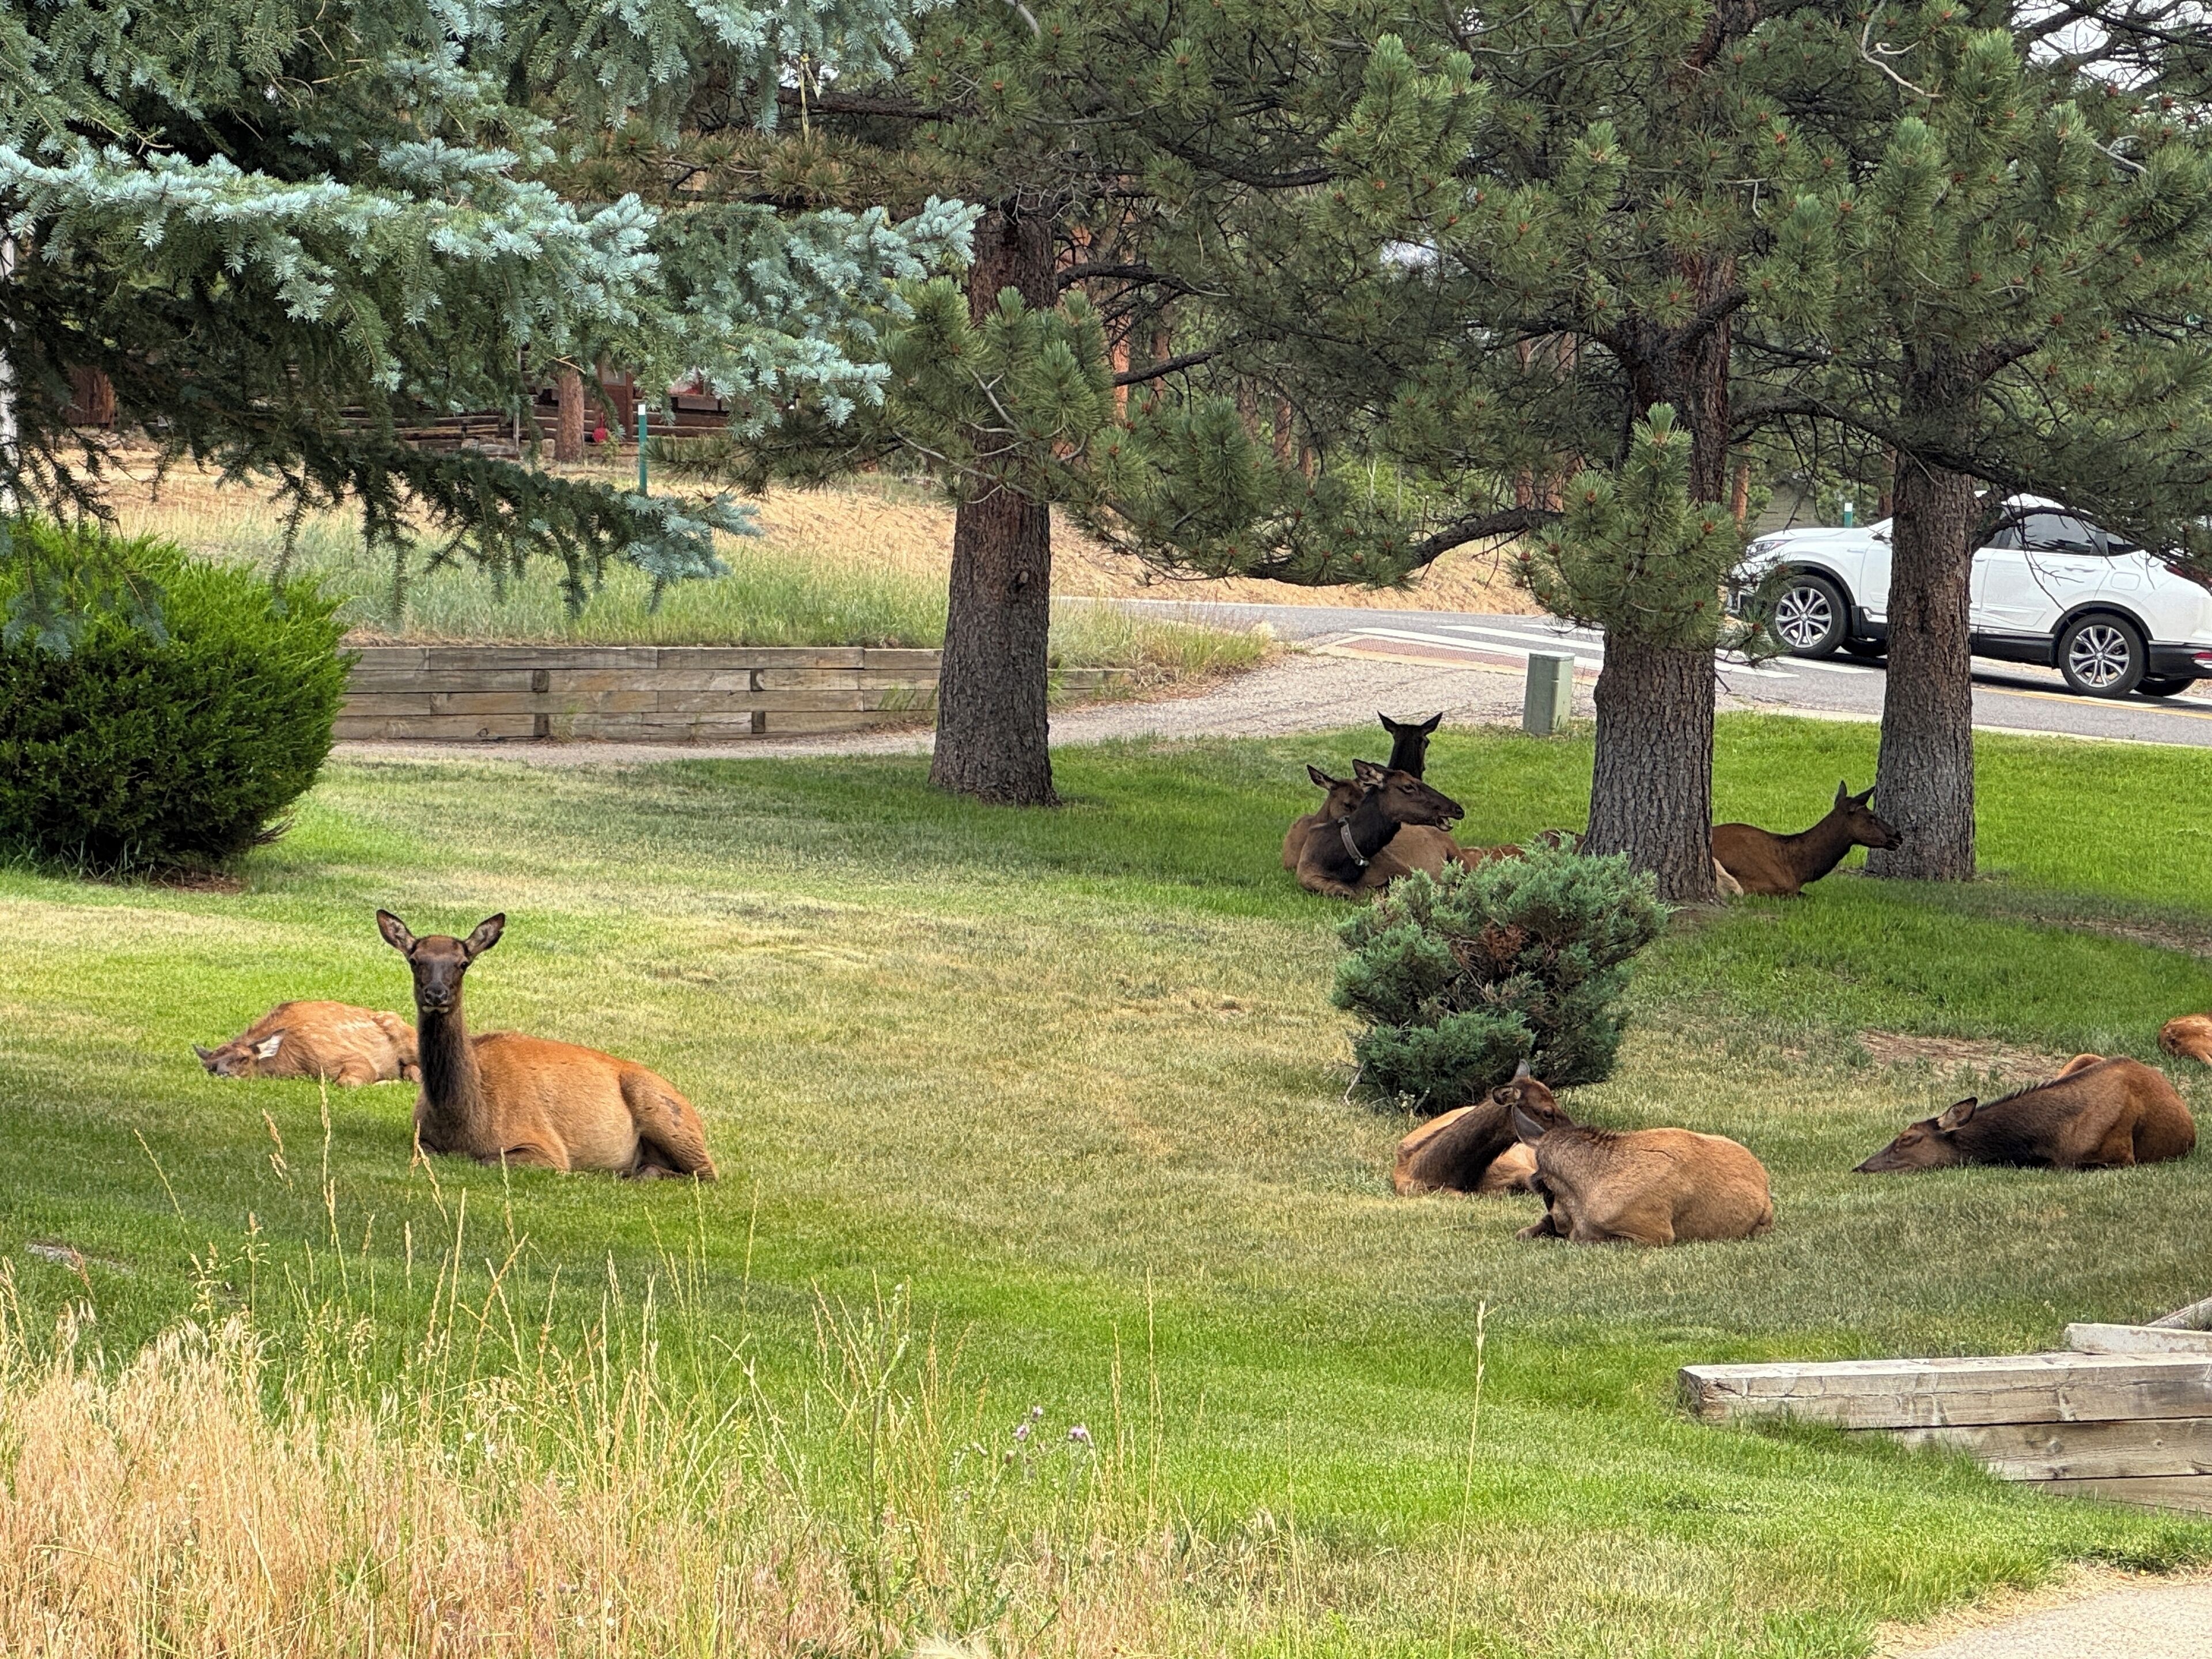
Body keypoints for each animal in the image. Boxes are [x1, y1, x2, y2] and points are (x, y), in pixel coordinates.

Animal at [195, 1001, 417, 1086]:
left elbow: (347, 1082)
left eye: (244, 1058)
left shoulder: (346, 1055)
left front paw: (389, 1082)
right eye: (209, 1066)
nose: (223, 1073)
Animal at [377, 911, 717, 1180]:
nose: (437, 994)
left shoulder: (546, 1147)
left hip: (670, 1117)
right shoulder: (422, 1137)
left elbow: (490, 1160)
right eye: (414, 960)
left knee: (706, 1174)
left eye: (463, 963)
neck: (463, 1121)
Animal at [1294, 761, 1465, 898]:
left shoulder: (1404, 870)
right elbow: (1346, 892)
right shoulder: (1309, 877)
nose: (1458, 809)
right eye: (1408, 786)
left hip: (1457, 853)